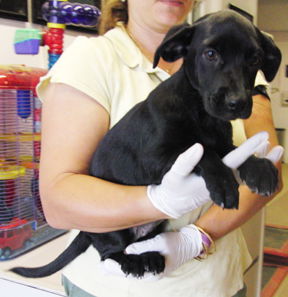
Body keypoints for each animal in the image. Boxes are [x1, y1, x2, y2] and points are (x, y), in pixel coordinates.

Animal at [11, 9, 282, 278]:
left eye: (255, 59)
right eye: (210, 54)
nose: (237, 102)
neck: (201, 112)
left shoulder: (223, 144)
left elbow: (236, 151)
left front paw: (260, 169)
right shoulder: (155, 156)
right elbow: (203, 153)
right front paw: (224, 182)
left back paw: (150, 256)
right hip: (112, 230)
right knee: (109, 252)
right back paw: (133, 262)